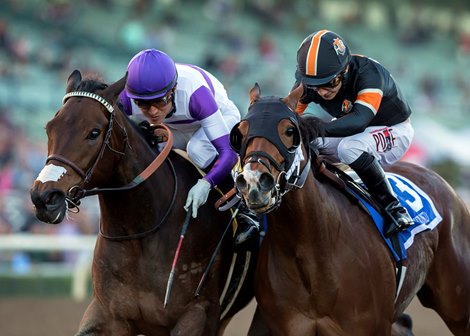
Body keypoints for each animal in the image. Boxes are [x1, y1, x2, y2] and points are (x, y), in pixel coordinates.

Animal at [29, 69, 266, 334]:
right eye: (49, 128)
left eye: (94, 132)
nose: (44, 198)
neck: (141, 232)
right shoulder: (107, 312)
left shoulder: (197, 313)